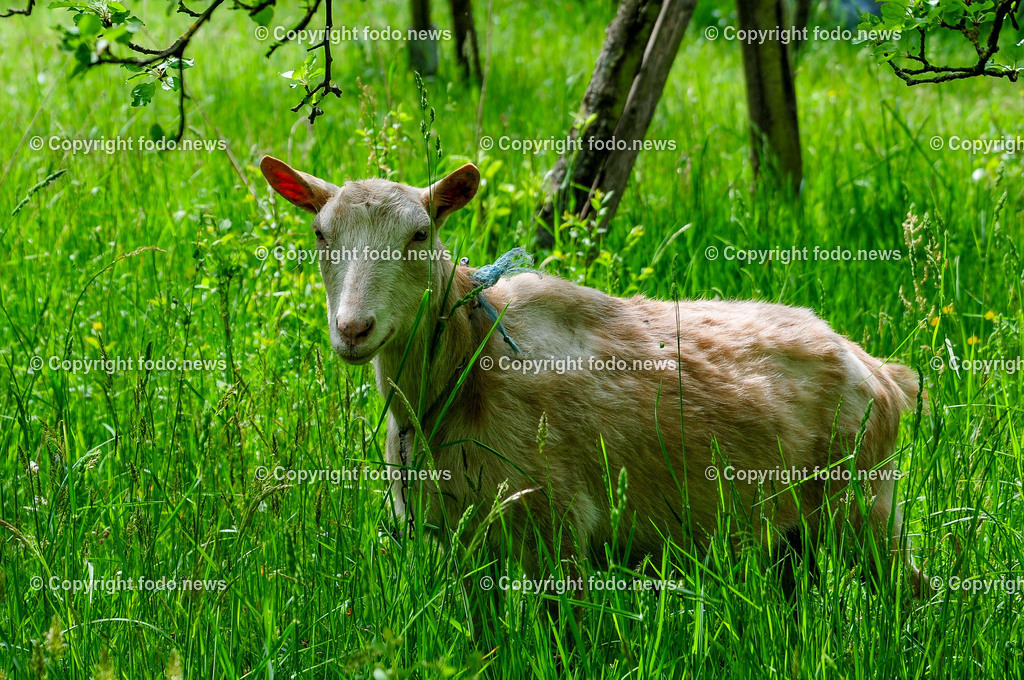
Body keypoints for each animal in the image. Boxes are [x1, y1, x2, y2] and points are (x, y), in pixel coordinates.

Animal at [260, 156, 926, 596]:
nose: (353, 329)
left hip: (864, 509)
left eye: (420, 234)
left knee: (912, 588)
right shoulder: (449, 534)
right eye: (320, 234)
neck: (464, 368)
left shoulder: (557, 528)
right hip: (795, 535)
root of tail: (882, 372)